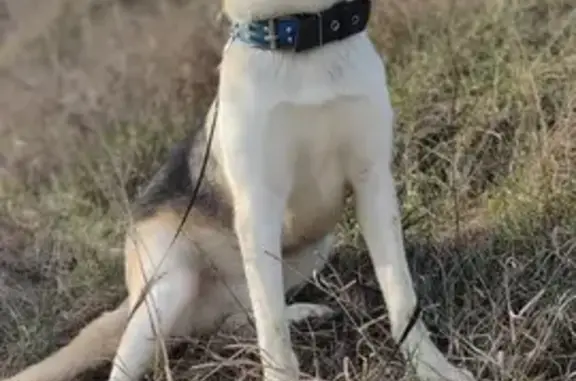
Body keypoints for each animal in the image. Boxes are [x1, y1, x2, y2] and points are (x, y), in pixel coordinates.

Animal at [2, 0, 474, 380]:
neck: (300, 40)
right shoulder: (259, 205)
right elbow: (273, 335)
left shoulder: (373, 183)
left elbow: (402, 299)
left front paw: (435, 370)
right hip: (170, 283)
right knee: (131, 361)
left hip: (312, 251)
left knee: (237, 318)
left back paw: (301, 313)